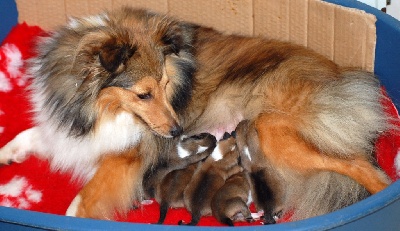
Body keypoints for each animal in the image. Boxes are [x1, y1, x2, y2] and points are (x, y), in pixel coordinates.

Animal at [0, 6, 394, 220]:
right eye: (143, 94)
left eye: (165, 84)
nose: (177, 132)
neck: (92, 105)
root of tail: (341, 77)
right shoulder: (64, 129)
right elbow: (30, 134)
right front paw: (8, 154)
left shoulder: (124, 159)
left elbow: (81, 201)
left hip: (274, 128)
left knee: (359, 165)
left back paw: (384, 195)